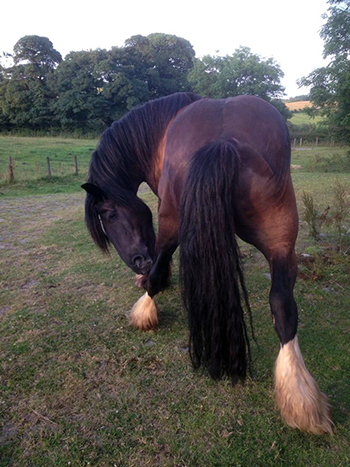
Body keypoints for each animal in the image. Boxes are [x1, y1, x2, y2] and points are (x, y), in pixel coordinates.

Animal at [83, 91, 332, 436]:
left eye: (109, 215)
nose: (138, 262)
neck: (162, 127)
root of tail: (224, 141)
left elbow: (162, 261)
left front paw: (150, 290)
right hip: (281, 240)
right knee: (283, 305)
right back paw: (299, 397)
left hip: (175, 217)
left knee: (163, 260)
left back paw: (145, 306)